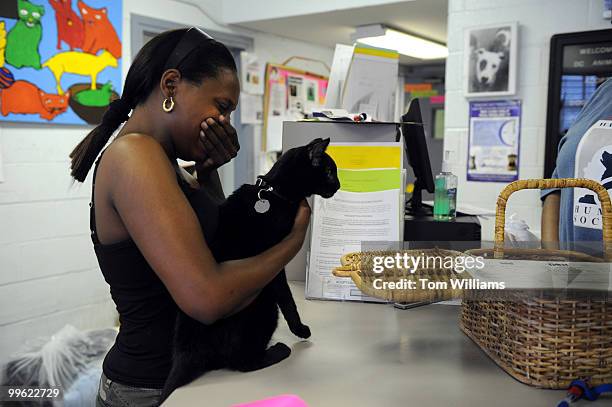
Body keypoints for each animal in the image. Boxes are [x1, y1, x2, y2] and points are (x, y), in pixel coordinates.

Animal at [161, 137, 340, 402]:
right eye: (329, 172)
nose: (338, 185)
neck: (274, 192)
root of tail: (185, 352)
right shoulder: (276, 262)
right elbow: (289, 301)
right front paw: (300, 329)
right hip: (265, 306)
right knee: (242, 362)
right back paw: (278, 351)